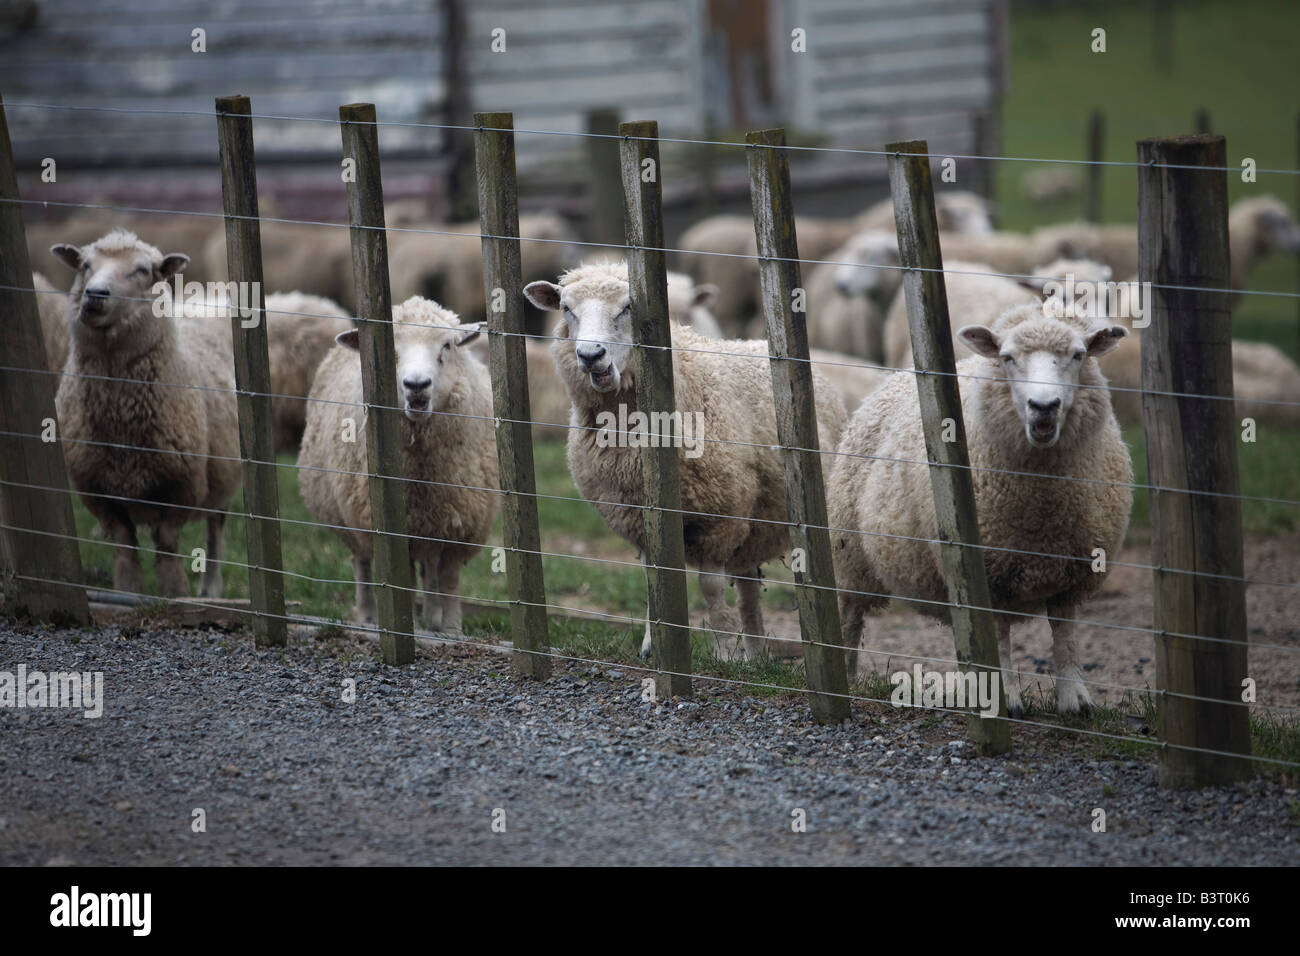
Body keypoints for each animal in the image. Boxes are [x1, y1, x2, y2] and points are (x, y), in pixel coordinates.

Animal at [50, 229, 241, 598]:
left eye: (141, 270)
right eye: (85, 265)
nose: (95, 294)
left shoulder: (182, 487)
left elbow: (167, 549)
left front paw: (175, 594)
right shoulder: (97, 492)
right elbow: (125, 549)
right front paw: (128, 594)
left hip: (221, 475)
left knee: (215, 529)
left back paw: (210, 589)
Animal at [298, 296, 499, 633]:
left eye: (447, 345)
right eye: (389, 349)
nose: (416, 385)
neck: (421, 476)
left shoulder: (461, 525)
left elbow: (449, 578)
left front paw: (451, 627)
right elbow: (402, 577)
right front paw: (408, 625)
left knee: (430, 568)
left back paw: (432, 616)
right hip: (352, 517)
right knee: (362, 563)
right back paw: (368, 615)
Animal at [524, 260, 847, 659]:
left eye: (628, 307)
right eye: (567, 308)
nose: (590, 356)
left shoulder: (719, 517)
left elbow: (710, 586)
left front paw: (724, 650)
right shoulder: (640, 520)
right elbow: (654, 580)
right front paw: (653, 645)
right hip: (752, 522)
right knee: (748, 585)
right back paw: (756, 652)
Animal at [829, 303, 1132, 715]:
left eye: (1078, 355)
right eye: (1007, 358)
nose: (1043, 408)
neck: (1043, 510)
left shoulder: (1074, 569)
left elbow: (1065, 632)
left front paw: (1074, 698)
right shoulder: (991, 569)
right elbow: (1001, 636)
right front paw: (1006, 697)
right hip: (852, 556)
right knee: (851, 618)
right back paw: (844, 675)